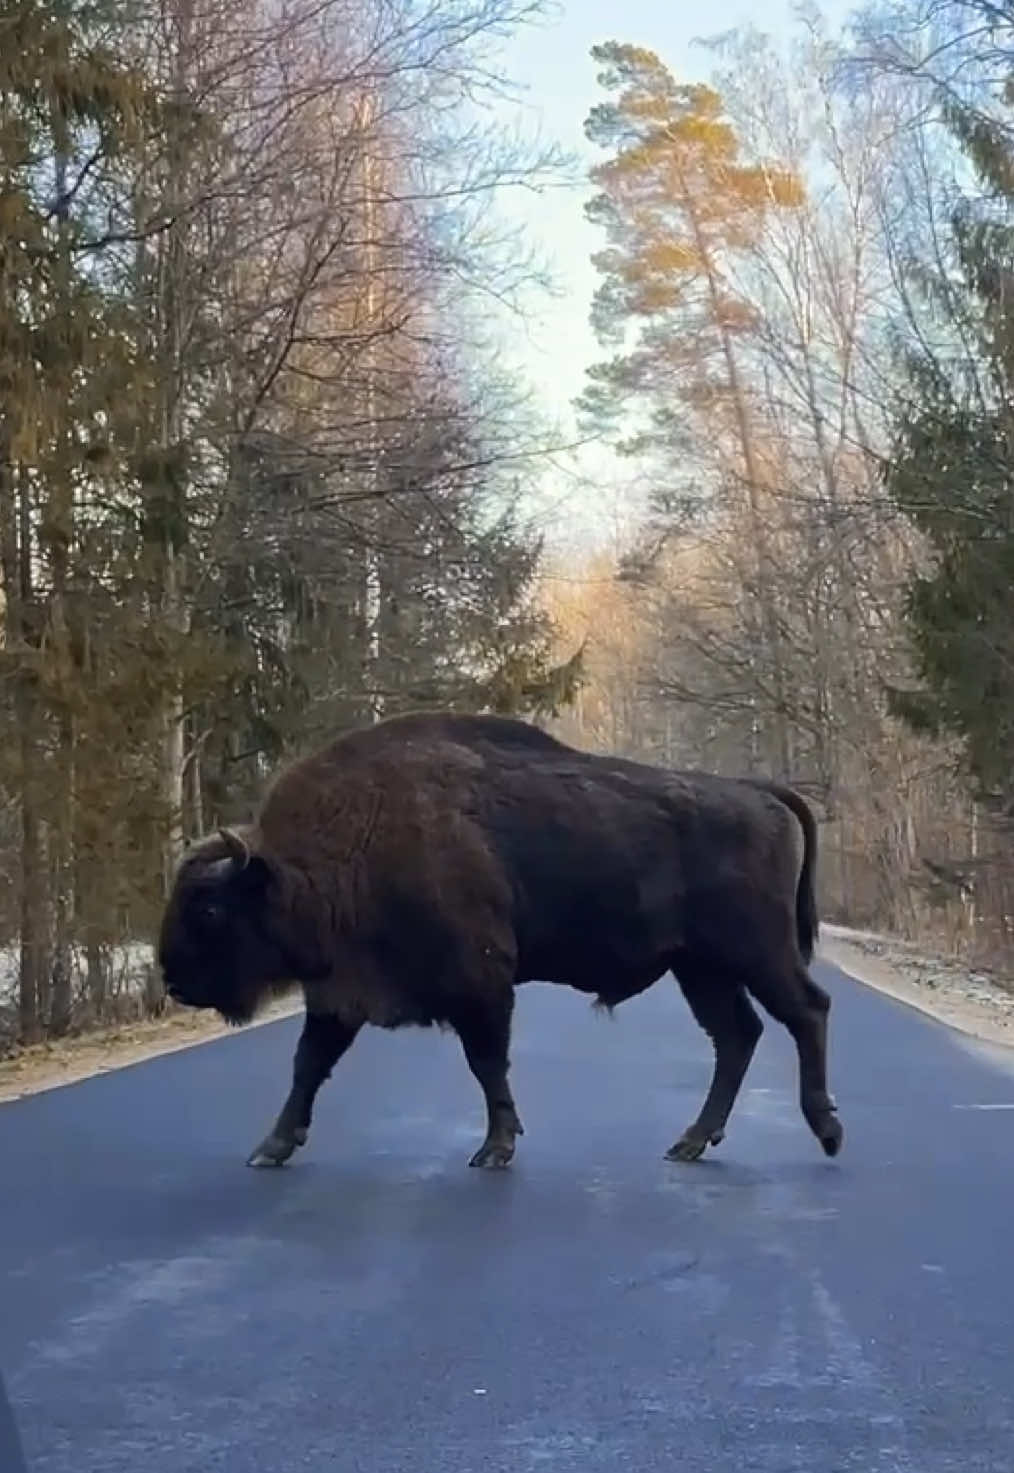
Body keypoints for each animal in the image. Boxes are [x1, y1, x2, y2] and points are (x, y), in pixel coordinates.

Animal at [158, 711, 842, 1170]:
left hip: (757, 952)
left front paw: (495, 1148)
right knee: (738, 1036)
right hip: (700, 969)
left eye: (210, 907)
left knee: (806, 1011)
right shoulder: (340, 996)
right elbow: (308, 1066)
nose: (172, 979)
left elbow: (486, 1063)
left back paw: (826, 1131)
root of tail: (757, 792)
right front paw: (270, 1147)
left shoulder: (480, 984)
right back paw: (690, 1142)